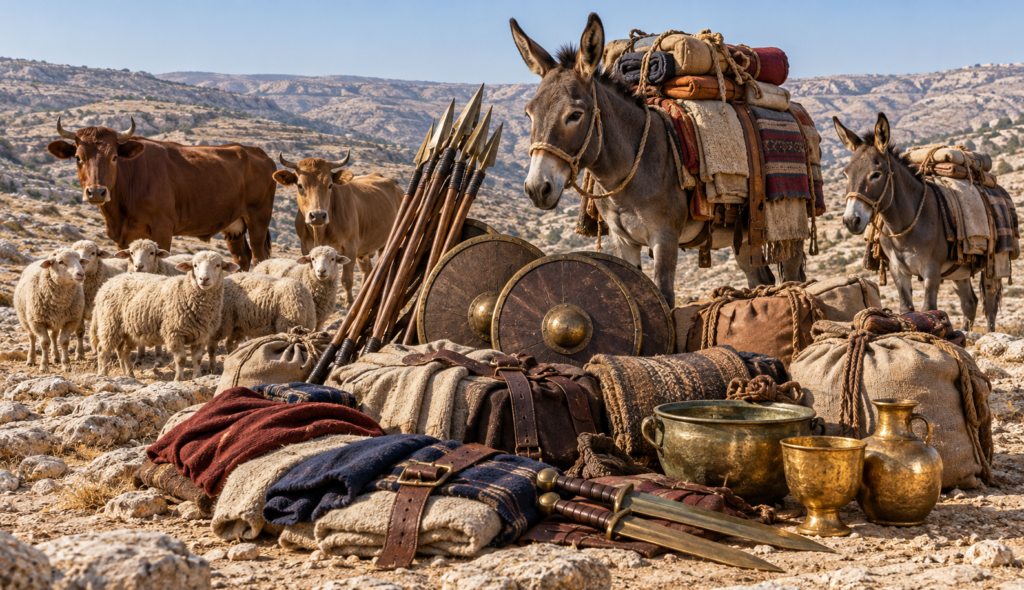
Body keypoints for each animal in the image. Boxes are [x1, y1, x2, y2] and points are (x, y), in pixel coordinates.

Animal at [47, 118, 277, 271]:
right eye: (78, 157)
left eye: (114, 157)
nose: (96, 192)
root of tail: (256, 151)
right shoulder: (122, 237)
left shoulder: (163, 229)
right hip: (234, 225)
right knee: (242, 258)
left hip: (259, 218)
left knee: (260, 256)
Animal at [91, 251, 239, 380]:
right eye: (195, 265)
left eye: (218, 265)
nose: (203, 279)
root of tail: (106, 284)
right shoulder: (174, 332)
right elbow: (181, 359)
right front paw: (179, 379)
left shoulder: (202, 335)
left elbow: (197, 359)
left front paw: (197, 377)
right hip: (110, 323)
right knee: (103, 350)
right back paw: (103, 374)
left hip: (128, 329)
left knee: (123, 351)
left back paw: (129, 375)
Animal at [272, 153, 402, 306]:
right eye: (300, 185)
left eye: (330, 185)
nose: (318, 215)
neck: (320, 233)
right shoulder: (305, 248)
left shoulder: (350, 248)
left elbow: (347, 280)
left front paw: (349, 304)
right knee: (367, 271)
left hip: (386, 242)